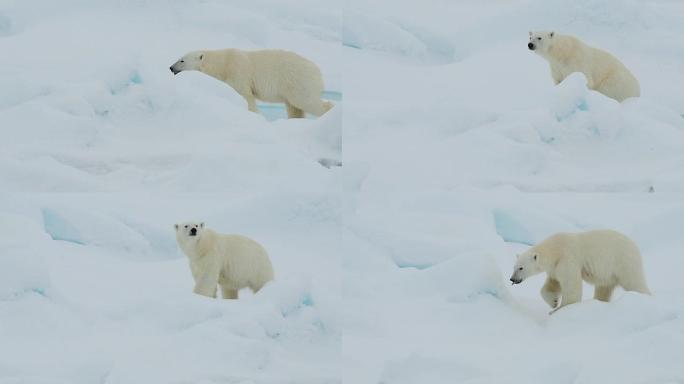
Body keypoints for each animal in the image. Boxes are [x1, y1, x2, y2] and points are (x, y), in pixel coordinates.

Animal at [170, 48, 332, 117]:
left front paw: (255, 114)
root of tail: (318, 71)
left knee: (306, 101)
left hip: (298, 80)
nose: (171, 67)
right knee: (294, 108)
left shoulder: (237, 72)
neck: (222, 64)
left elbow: (245, 96)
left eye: (182, 60)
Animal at [510, 230, 648, 314]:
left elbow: (571, 285)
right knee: (603, 289)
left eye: (521, 268)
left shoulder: (567, 259)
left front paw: (559, 309)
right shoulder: (555, 267)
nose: (512, 279)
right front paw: (554, 303)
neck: (555, 249)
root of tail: (635, 247)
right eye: (513, 267)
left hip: (623, 262)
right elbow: (552, 284)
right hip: (608, 274)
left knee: (635, 283)